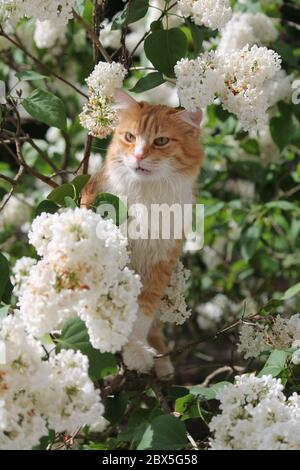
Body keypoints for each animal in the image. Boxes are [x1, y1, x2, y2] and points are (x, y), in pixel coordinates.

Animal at [81, 91, 203, 378]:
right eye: (130, 137)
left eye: (161, 141)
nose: (137, 156)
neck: (147, 198)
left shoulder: (159, 264)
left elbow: (141, 315)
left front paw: (135, 351)